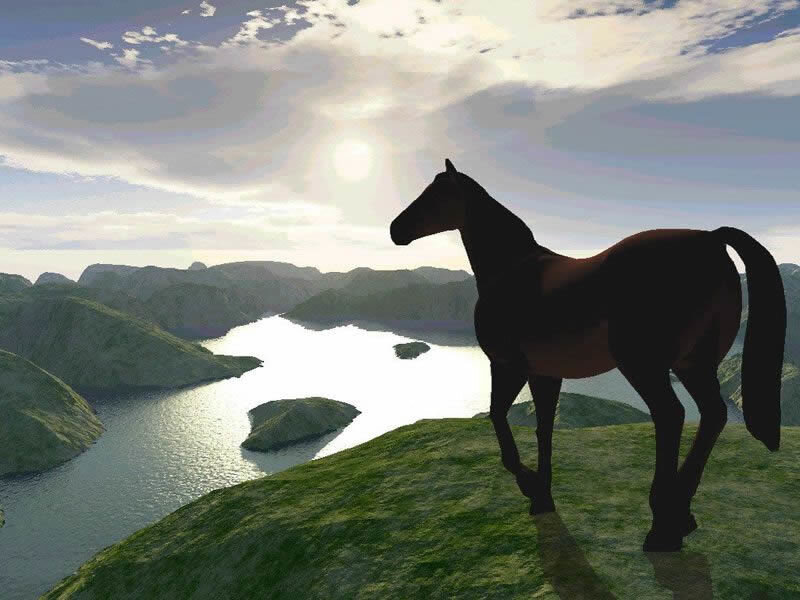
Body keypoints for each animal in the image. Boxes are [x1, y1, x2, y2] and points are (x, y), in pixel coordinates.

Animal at [390, 159, 786, 552]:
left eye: (436, 194)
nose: (396, 230)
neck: (512, 271)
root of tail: (710, 239)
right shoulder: (545, 373)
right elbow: (543, 428)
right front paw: (543, 497)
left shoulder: (507, 366)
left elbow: (498, 416)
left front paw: (528, 484)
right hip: (693, 364)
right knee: (713, 415)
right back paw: (680, 515)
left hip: (644, 366)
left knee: (671, 416)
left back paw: (662, 527)